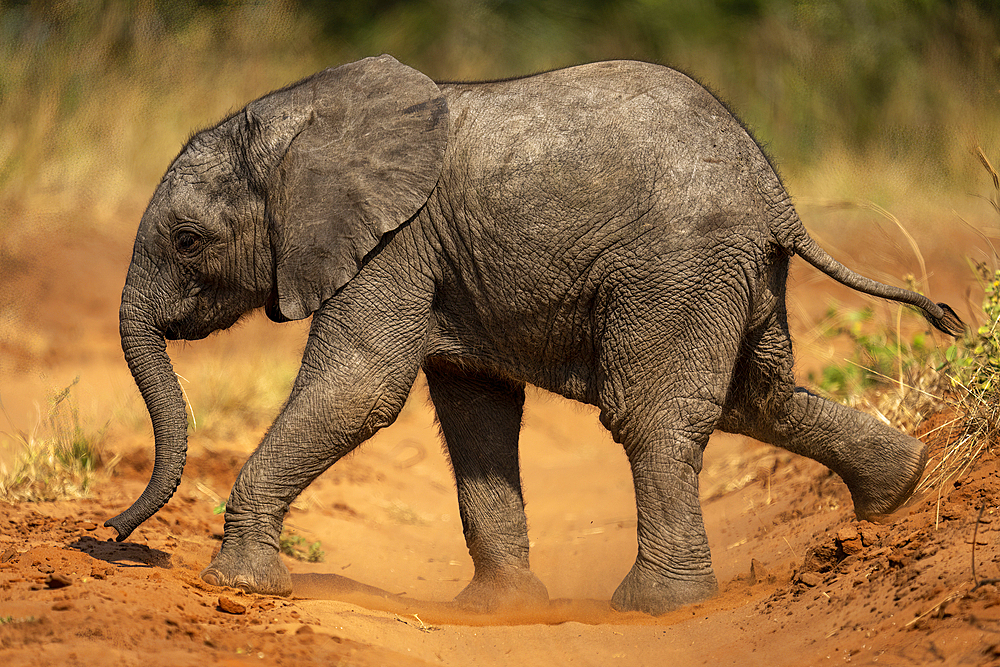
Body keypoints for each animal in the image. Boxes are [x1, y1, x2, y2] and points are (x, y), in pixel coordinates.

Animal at [105, 53, 964, 616]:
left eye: (187, 240)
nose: (113, 535)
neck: (298, 119)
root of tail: (776, 192)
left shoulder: (394, 242)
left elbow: (363, 386)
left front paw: (235, 584)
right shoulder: (442, 259)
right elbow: (475, 408)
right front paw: (500, 608)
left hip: (677, 266)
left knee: (651, 413)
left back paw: (655, 605)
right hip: (732, 272)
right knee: (762, 397)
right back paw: (901, 488)